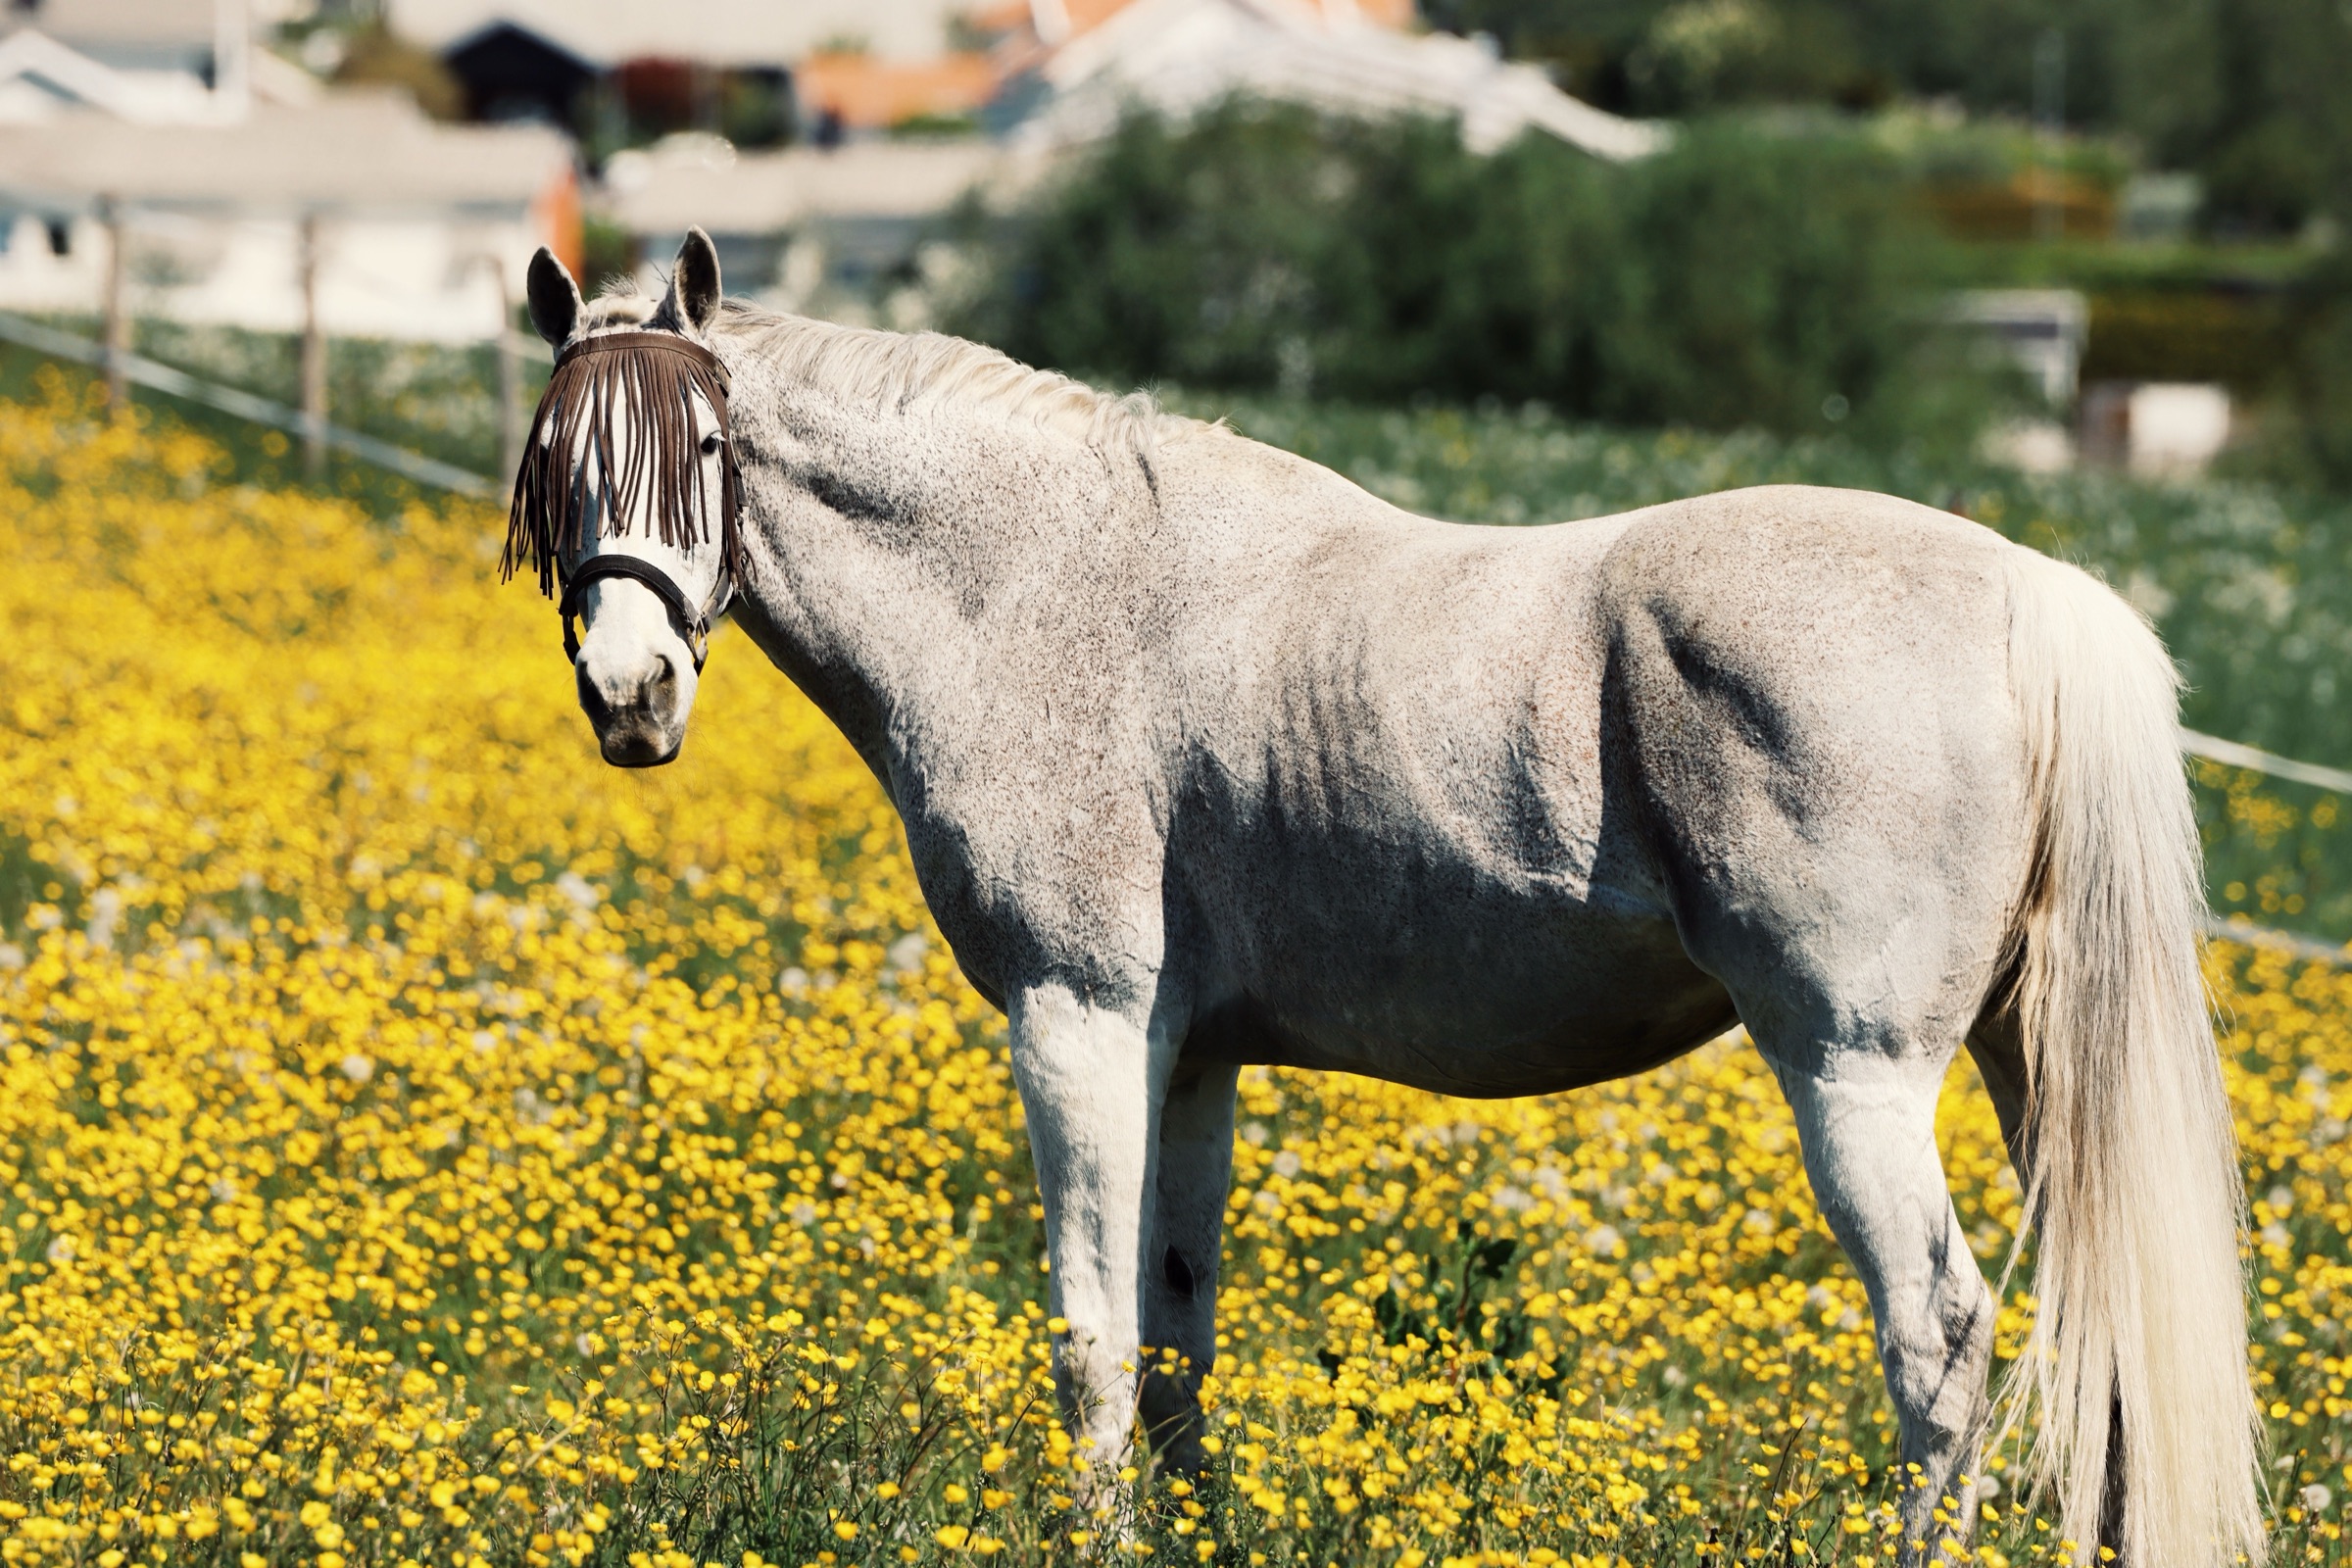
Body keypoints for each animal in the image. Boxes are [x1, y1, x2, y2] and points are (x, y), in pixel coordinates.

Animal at [502, 230, 2260, 1568]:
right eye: (556, 465)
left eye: (705, 451)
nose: (629, 696)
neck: (1045, 588)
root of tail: (2034, 595)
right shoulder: (1190, 1057)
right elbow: (1175, 1339)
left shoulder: (1080, 1026)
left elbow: (1088, 1336)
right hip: (2032, 1062)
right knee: (2100, 1339)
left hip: (1856, 1074)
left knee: (1942, 1343)